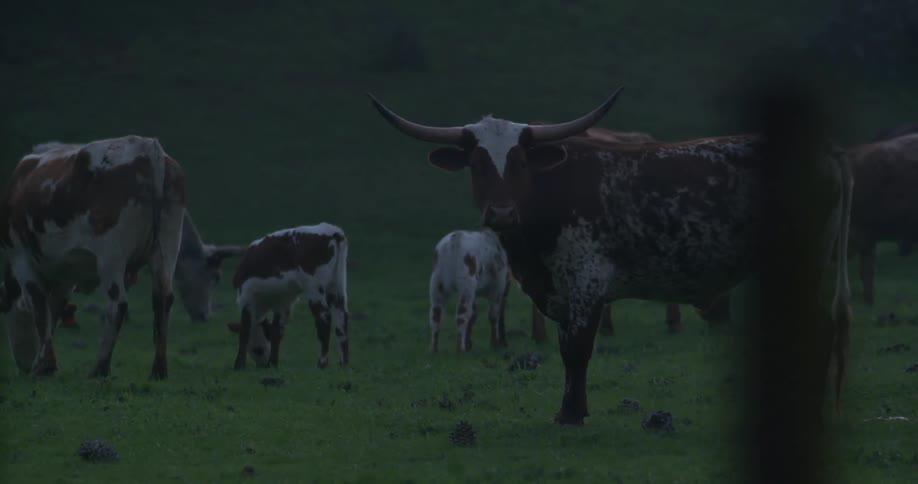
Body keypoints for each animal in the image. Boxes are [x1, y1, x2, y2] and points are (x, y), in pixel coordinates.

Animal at [0, 136, 185, 379]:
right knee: (164, 300)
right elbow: (54, 311)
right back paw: (159, 369)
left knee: (118, 304)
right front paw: (48, 363)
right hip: (167, 247)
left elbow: (40, 310)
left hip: (111, 256)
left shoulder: (21, 258)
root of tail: (147, 146)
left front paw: (43, 365)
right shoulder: (65, 274)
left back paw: (100, 367)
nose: (22, 365)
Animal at [227, 223, 349, 370]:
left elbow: (245, 331)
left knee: (324, 319)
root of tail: (332, 231)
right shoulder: (283, 303)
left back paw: (322, 363)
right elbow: (277, 331)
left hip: (314, 287)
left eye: (257, 350)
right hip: (337, 285)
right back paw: (344, 363)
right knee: (342, 319)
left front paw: (239, 365)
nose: (261, 365)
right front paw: (273, 363)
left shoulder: (246, 297)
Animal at [367, 89, 853, 425]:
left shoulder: (587, 281)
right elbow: (565, 347)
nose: (501, 212)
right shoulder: (561, 288)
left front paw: (571, 415)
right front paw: (570, 409)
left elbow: (577, 349)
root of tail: (827, 150)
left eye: (521, 161)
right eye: (478, 163)